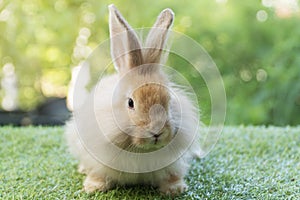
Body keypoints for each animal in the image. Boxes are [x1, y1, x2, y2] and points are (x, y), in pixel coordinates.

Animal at [64, 3, 203, 196]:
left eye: (169, 99)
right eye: (130, 103)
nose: (157, 132)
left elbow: (172, 175)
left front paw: (175, 189)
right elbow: (99, 174)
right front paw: (93, 187)